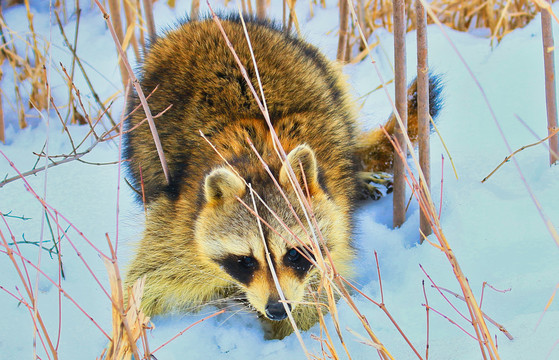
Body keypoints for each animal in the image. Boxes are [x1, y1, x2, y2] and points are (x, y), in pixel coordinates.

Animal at [123, 14, 442, 338]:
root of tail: (206, 23)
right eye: (245, 261)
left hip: (321, 72)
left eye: (293, 254)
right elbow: (150, 277)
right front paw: (129, 328)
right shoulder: (180, 218)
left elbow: (318, 290)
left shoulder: (333, 222)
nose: (277, 309)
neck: (260, 157)